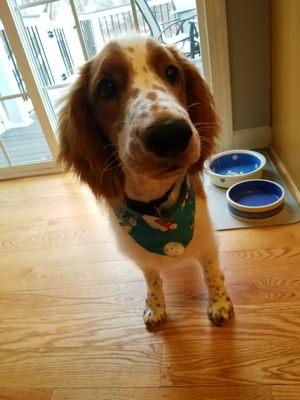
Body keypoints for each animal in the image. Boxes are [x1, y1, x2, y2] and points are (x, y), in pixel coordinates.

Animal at [57, 35, 233, 328]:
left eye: (172, 72)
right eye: (106, 88)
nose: (170, 134)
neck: (156, 208)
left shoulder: (205, 235)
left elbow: (211, 272)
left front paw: (219, 302)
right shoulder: (141, 254)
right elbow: (152, 278)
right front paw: (155, 306)